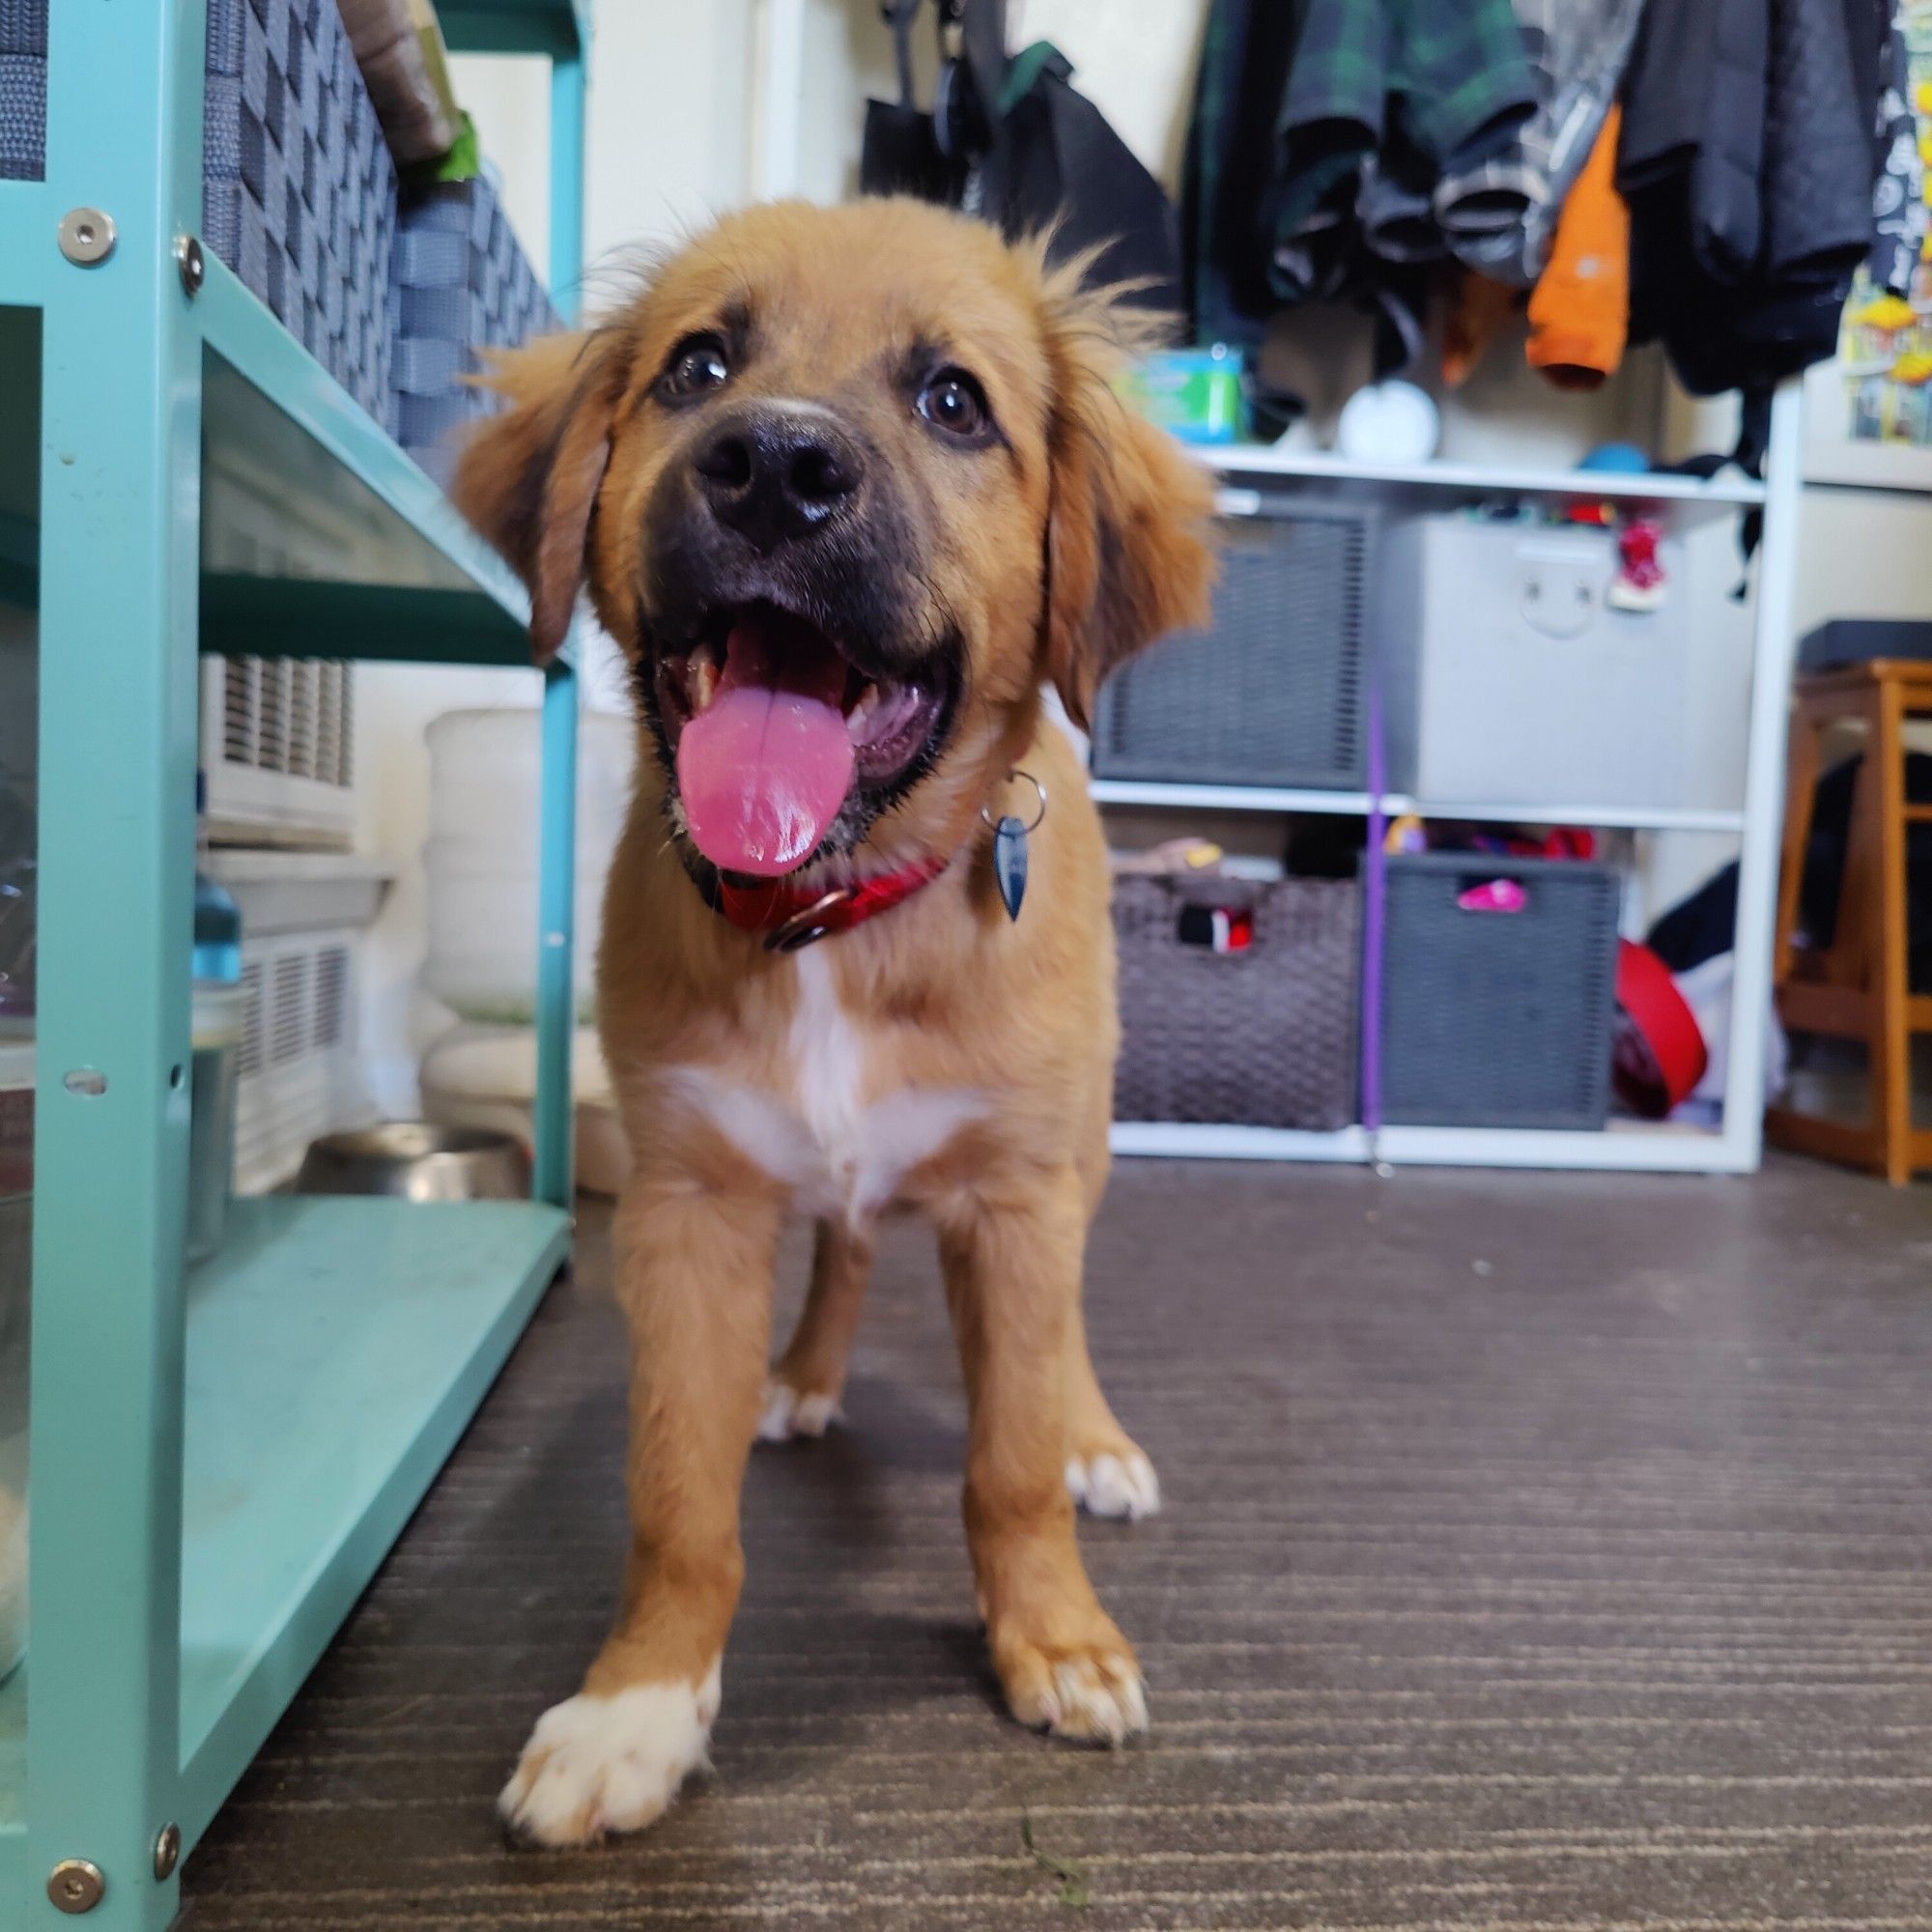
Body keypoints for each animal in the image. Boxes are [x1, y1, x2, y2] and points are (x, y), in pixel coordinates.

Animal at [452, 196, 1206, 1839]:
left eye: (955, 403)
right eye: (697, 367)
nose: (775, 469)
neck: (833, 922)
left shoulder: (1016, 1201)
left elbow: (1007, 1464)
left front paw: (1054, 1637)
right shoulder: (685, 1209)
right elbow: (675, 1502)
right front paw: (641, 1705)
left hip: (1083, 1151)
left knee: (1062, 1330)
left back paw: (1096, 1437)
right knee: (849, 1246)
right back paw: (799, 1376)